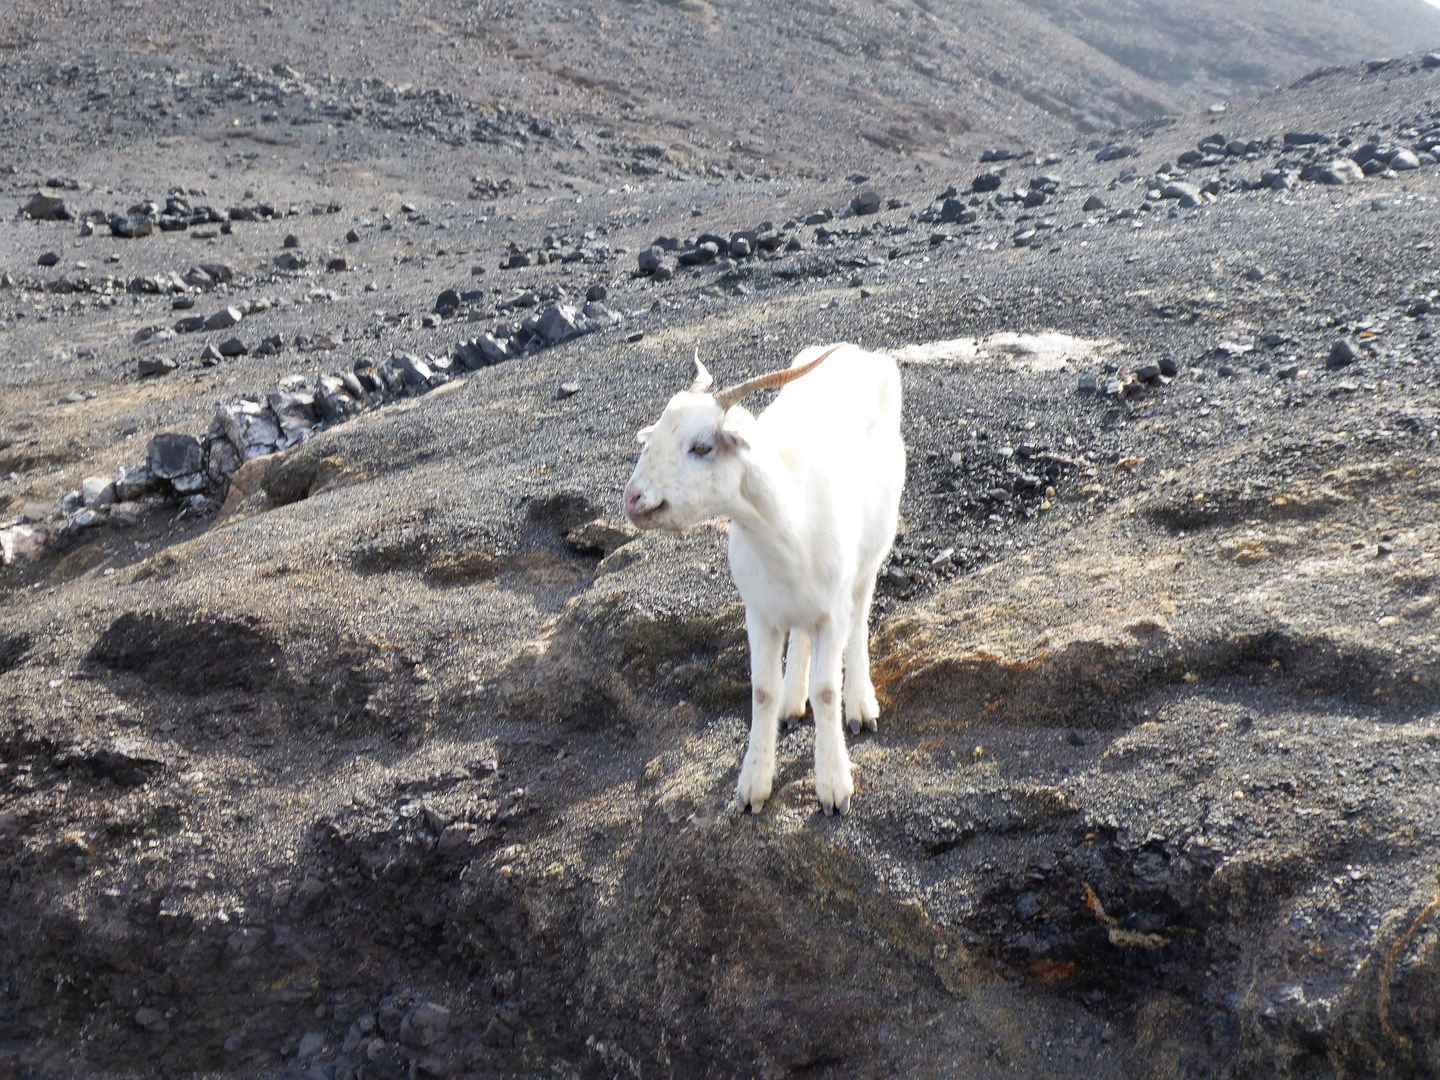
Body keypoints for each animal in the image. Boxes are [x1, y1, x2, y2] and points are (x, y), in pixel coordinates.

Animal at [624, 342, 904, 817]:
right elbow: (761, 692)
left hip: (870, 556)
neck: (789, 528)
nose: (633, 499)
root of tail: (857, 351)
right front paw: (753, 784)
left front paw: (834, 786)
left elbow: (826, 690)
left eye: (701, 447)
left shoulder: (832, 610)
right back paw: (793, 702)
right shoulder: (758, 612)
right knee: (803, 638)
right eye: (655, 436)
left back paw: (860, 704)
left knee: (860, 620)